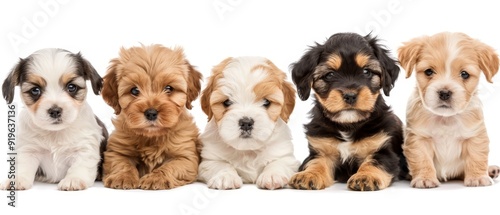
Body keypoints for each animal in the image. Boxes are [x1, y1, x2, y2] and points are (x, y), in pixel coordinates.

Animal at [0, 48, 109, 190]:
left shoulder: (85, 147)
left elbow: (80, 165)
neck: (55, 133)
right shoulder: (28, 149)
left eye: (71, 87)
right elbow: (23, 165)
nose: (55, 111)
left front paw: (74, 179)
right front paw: (17, 180)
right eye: (35, 90)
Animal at [100, 44, 202, 190]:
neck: (152, 137)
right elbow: (122, 163)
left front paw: (156, 178)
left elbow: (170, 166)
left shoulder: (185, 157)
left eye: (169, 88)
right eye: (134, 90)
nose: (151, 113)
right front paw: (123, 177)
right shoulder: (116, 151)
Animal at [198, 57, 300, 190]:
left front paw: (272, 175)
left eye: (266, 102)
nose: (246, 123)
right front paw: (225, 176)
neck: (248, 150)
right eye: (227, 102)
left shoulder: (285, 156)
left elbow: (278, 163)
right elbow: (220, 165)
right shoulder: (209, 159)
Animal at [290, 32, 406, 191]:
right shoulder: (320, 150)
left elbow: (375, 162)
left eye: (366, 72)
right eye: (330, 75)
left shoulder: (384, 151)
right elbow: (315, 162)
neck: (348, 125)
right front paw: (308, 175)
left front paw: (365, 176)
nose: (350, 95)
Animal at [398, 31, 500, 188]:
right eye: (428, 72)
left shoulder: (475, 136)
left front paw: (477, 177)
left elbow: (476, 156)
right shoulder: (418, 138)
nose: (444, 93)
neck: (445, 119)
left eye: (464, 74)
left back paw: (491, 170)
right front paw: (424, 178)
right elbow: (422, 159)